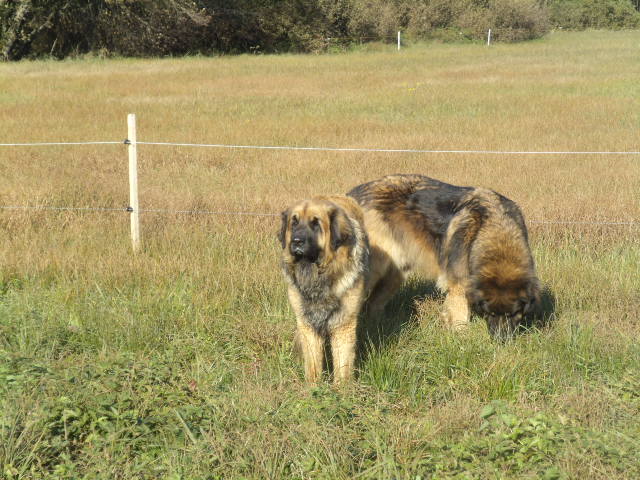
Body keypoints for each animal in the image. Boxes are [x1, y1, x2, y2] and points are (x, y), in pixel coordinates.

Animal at [280, 195, 370, 382]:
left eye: (315, 224)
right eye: (294, 223)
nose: (296, 241)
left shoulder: (344, 324)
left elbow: (342, 362)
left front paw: (341, 387)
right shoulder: (307, 322)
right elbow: (313, 361)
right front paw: (313, 385)